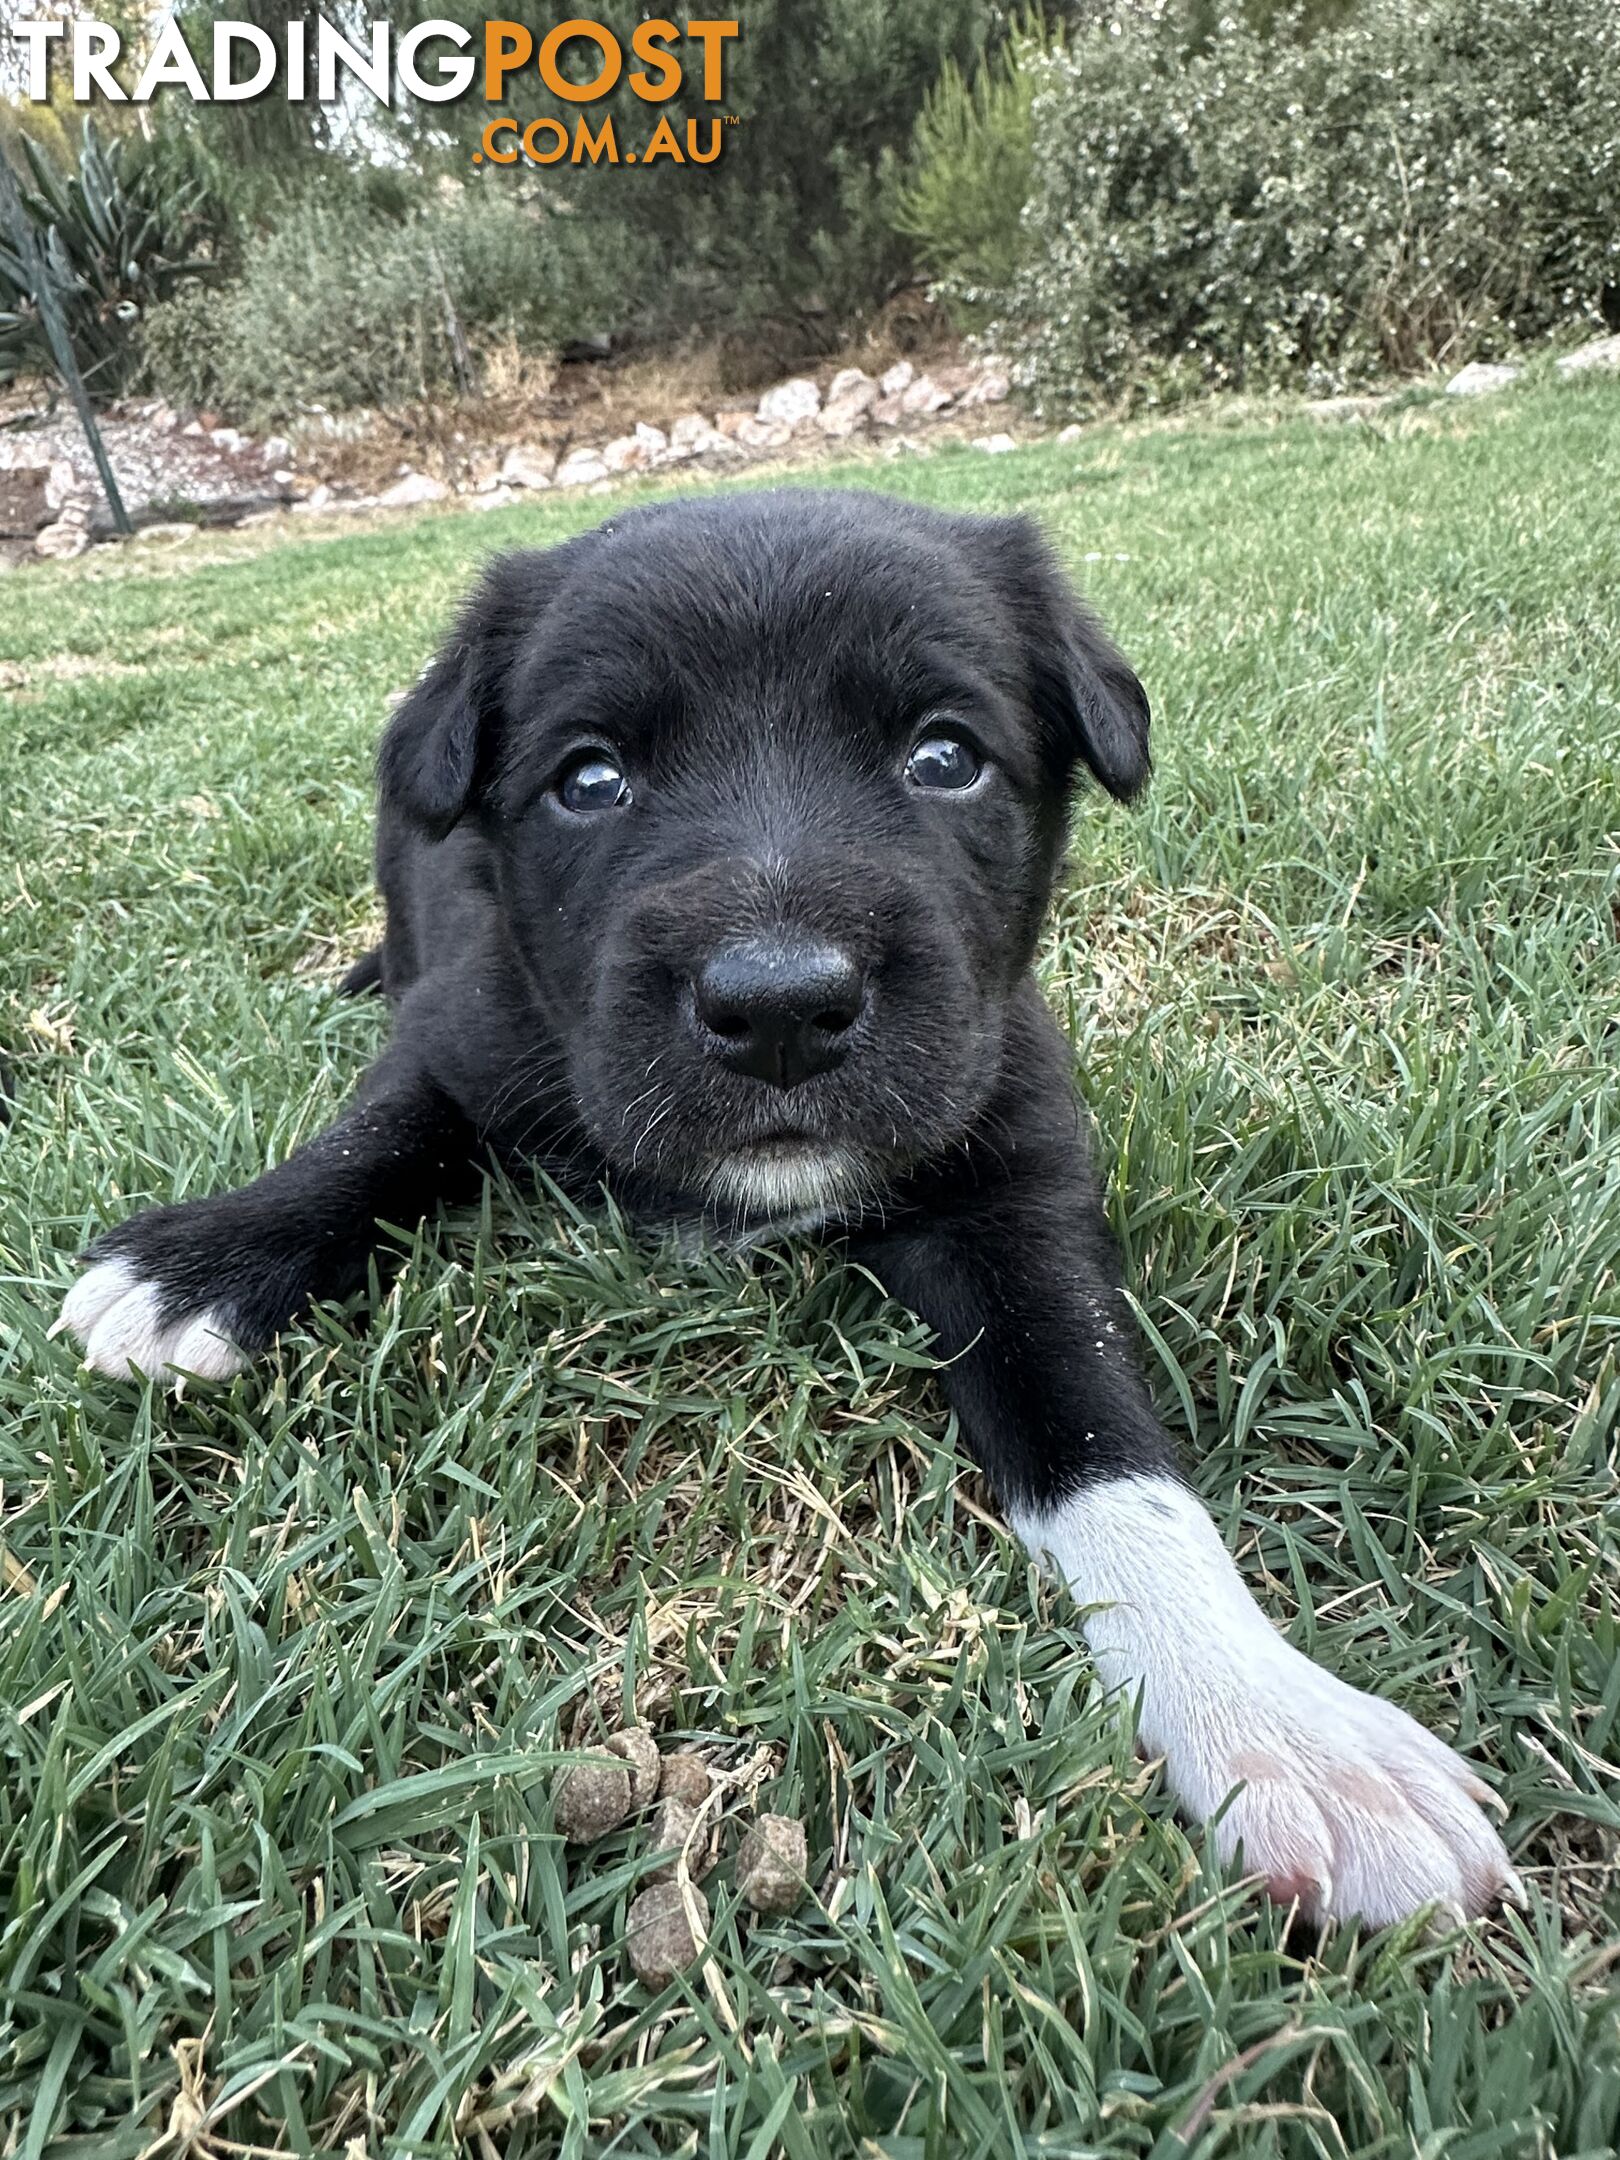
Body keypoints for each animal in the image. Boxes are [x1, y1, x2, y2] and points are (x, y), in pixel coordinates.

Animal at [54, 486, 1520, 1926]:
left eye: (946, 758)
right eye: (589, 780)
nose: (776, 1009)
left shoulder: (1014, 1180)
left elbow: (1106, 1451)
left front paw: (1279, 1723)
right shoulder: (464, 1029)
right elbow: (375, 1137)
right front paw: (205, 1261)